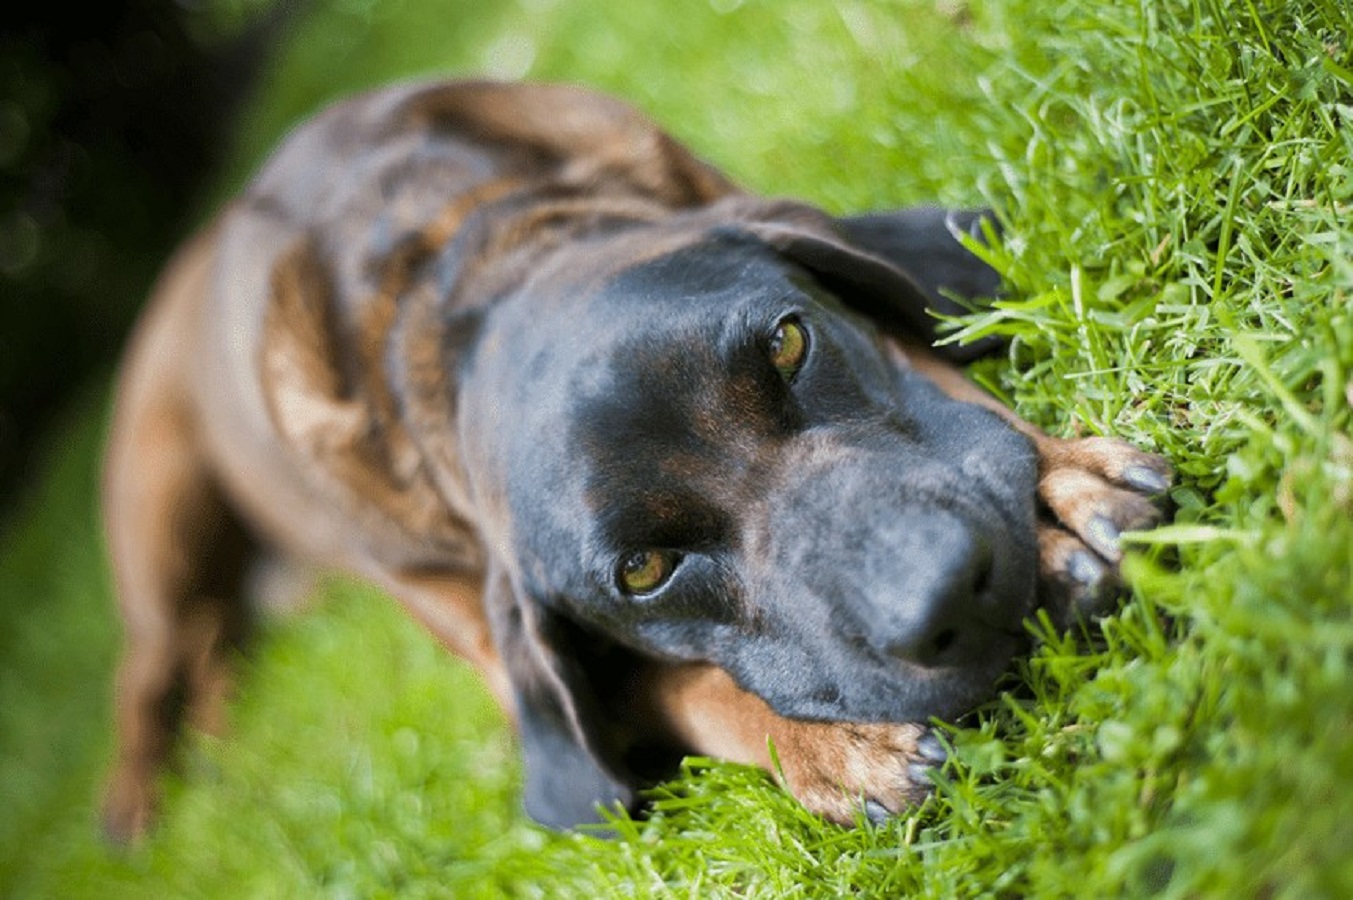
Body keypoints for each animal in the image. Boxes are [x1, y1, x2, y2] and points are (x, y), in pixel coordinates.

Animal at [100, 78, 1168, 844]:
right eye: (644, 571)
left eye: (789, 344)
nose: (950, 592)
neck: (452, 267)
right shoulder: (489, 644)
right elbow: (679, 688)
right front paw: (831, 746)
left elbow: (935, 370)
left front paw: (1059, 496)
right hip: (156, 517)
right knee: (151, 659)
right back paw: (141, 788)